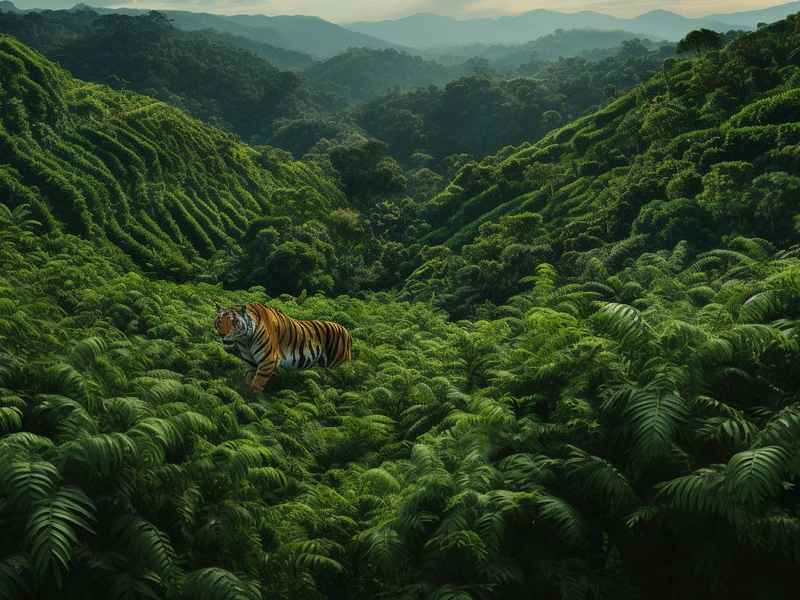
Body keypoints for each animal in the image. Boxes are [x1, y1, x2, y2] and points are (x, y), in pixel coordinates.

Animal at [213, 303, 352, 393]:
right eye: (219, 321)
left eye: (234, 322)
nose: (222, 334)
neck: (245, 341)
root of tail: (347, 331)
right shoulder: (251, 363)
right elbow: (249, 379)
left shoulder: (268, 361)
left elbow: (256, 384)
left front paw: (252, 400)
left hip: (339, 365)